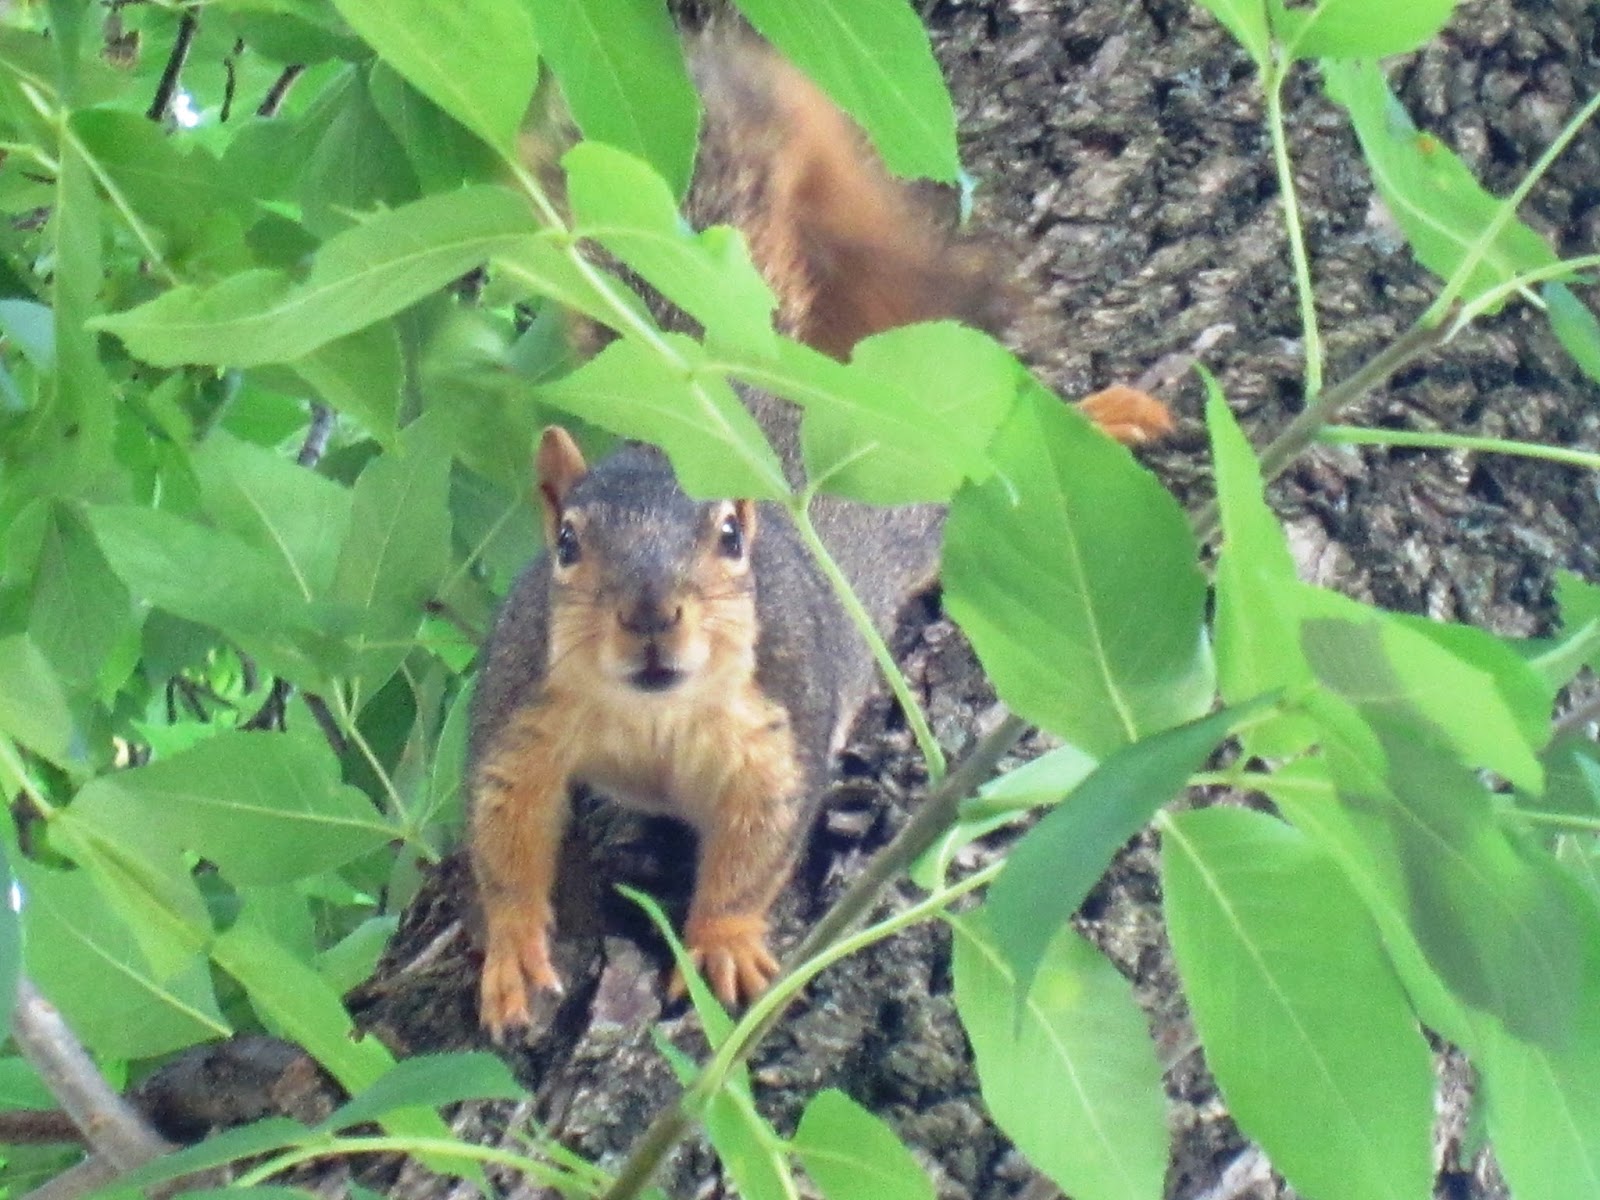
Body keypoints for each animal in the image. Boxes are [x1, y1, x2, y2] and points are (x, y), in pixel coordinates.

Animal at [468, 34, 1175, 1038]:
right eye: (566, 542)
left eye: (731, 534)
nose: (650, 616)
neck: (653, 714)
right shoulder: (521, 705)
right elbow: (504, 831)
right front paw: (510, 951)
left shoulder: (781, 723)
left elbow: (756, 847)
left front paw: (722, 941)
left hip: (909, 514)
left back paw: (1094, 420)